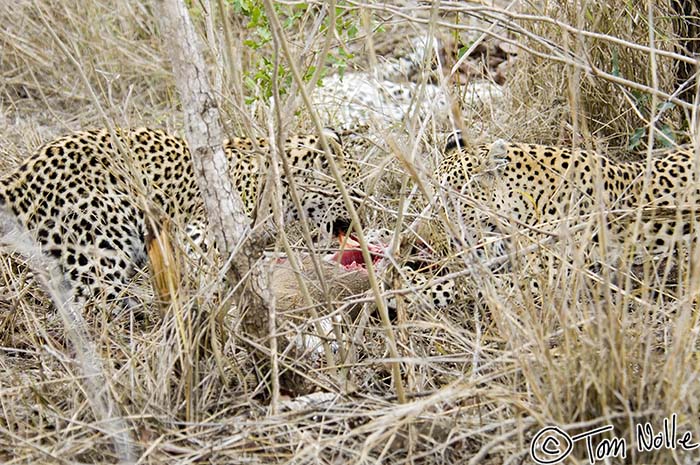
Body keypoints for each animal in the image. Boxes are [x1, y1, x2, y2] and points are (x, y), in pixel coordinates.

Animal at [0, 129, 358, 306]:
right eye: (354, 194)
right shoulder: (204, 230)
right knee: (95, 307)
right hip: (100, 248)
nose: (359, 224)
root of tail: (16, 178)